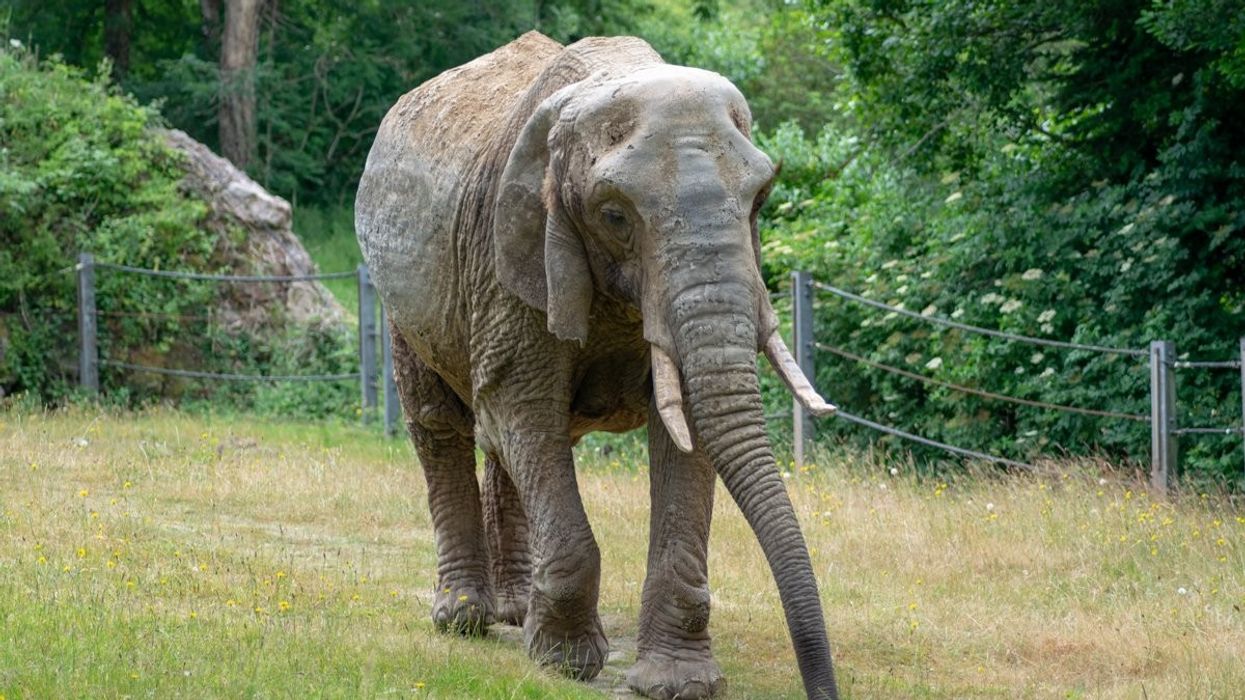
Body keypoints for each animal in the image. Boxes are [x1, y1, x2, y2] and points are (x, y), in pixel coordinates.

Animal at [355, 31, 840, 700]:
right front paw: (566, 662)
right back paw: (465, 619)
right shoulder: (510, 253)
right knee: (443, 426)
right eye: (613, 216)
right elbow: (525, 410)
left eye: (761, 199)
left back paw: (515, 611)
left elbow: (685, 433)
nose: (823, 687)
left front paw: (676, 683)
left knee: (504, 446)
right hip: (403, 300)